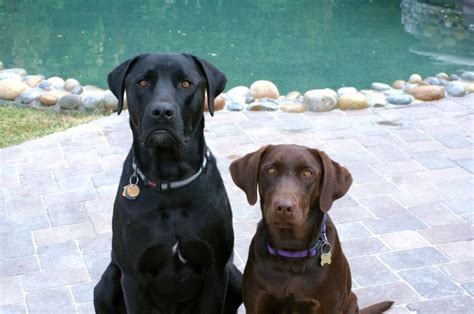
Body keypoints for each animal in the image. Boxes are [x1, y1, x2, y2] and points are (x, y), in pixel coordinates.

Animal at [93, 52, 243, 312]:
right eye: (143, 82)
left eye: (186, 83)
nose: (162, 111)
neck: (170, 182)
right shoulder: (133, 277)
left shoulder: (215, 272)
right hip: (105, 284)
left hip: (234, 275)